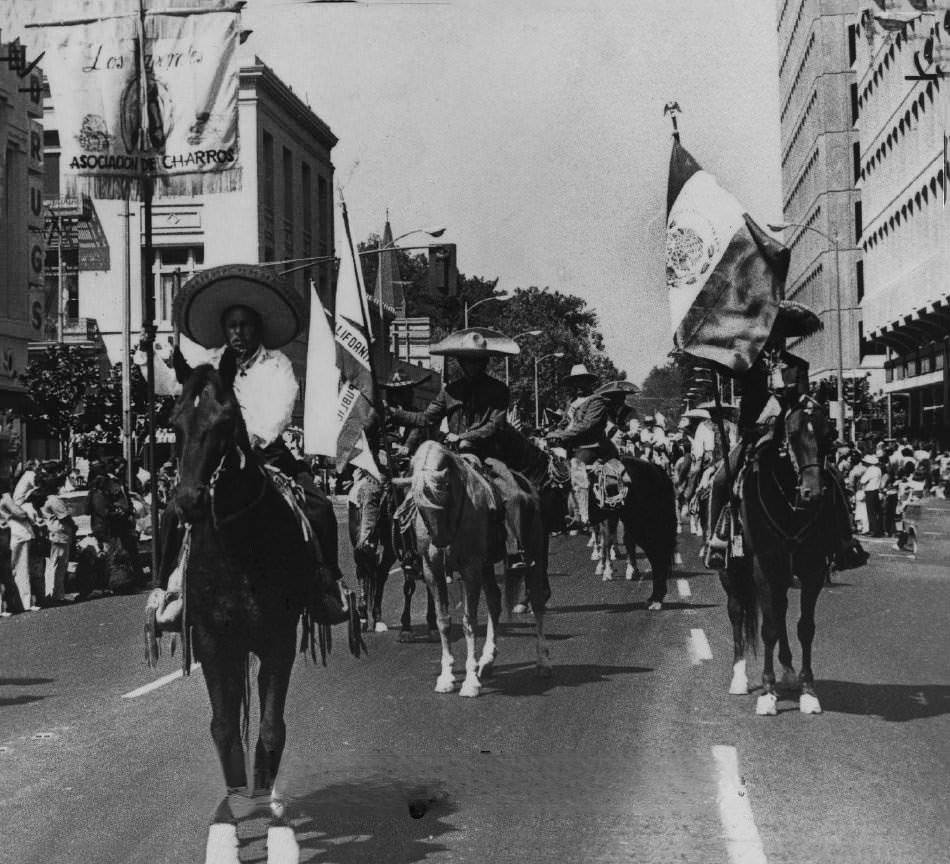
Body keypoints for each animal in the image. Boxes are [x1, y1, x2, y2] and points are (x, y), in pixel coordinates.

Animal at [720, 404, 840, 716]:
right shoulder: (765, 568)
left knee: (781, 609)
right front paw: (767, 693)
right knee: (737, 612)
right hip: (731, 573)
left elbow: (804, 627)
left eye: (828, 434)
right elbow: (769, 629)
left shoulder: (812, 570)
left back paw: (788, 670)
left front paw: (808, 691)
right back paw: (739, 677)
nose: (813, 492)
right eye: (793, 436)